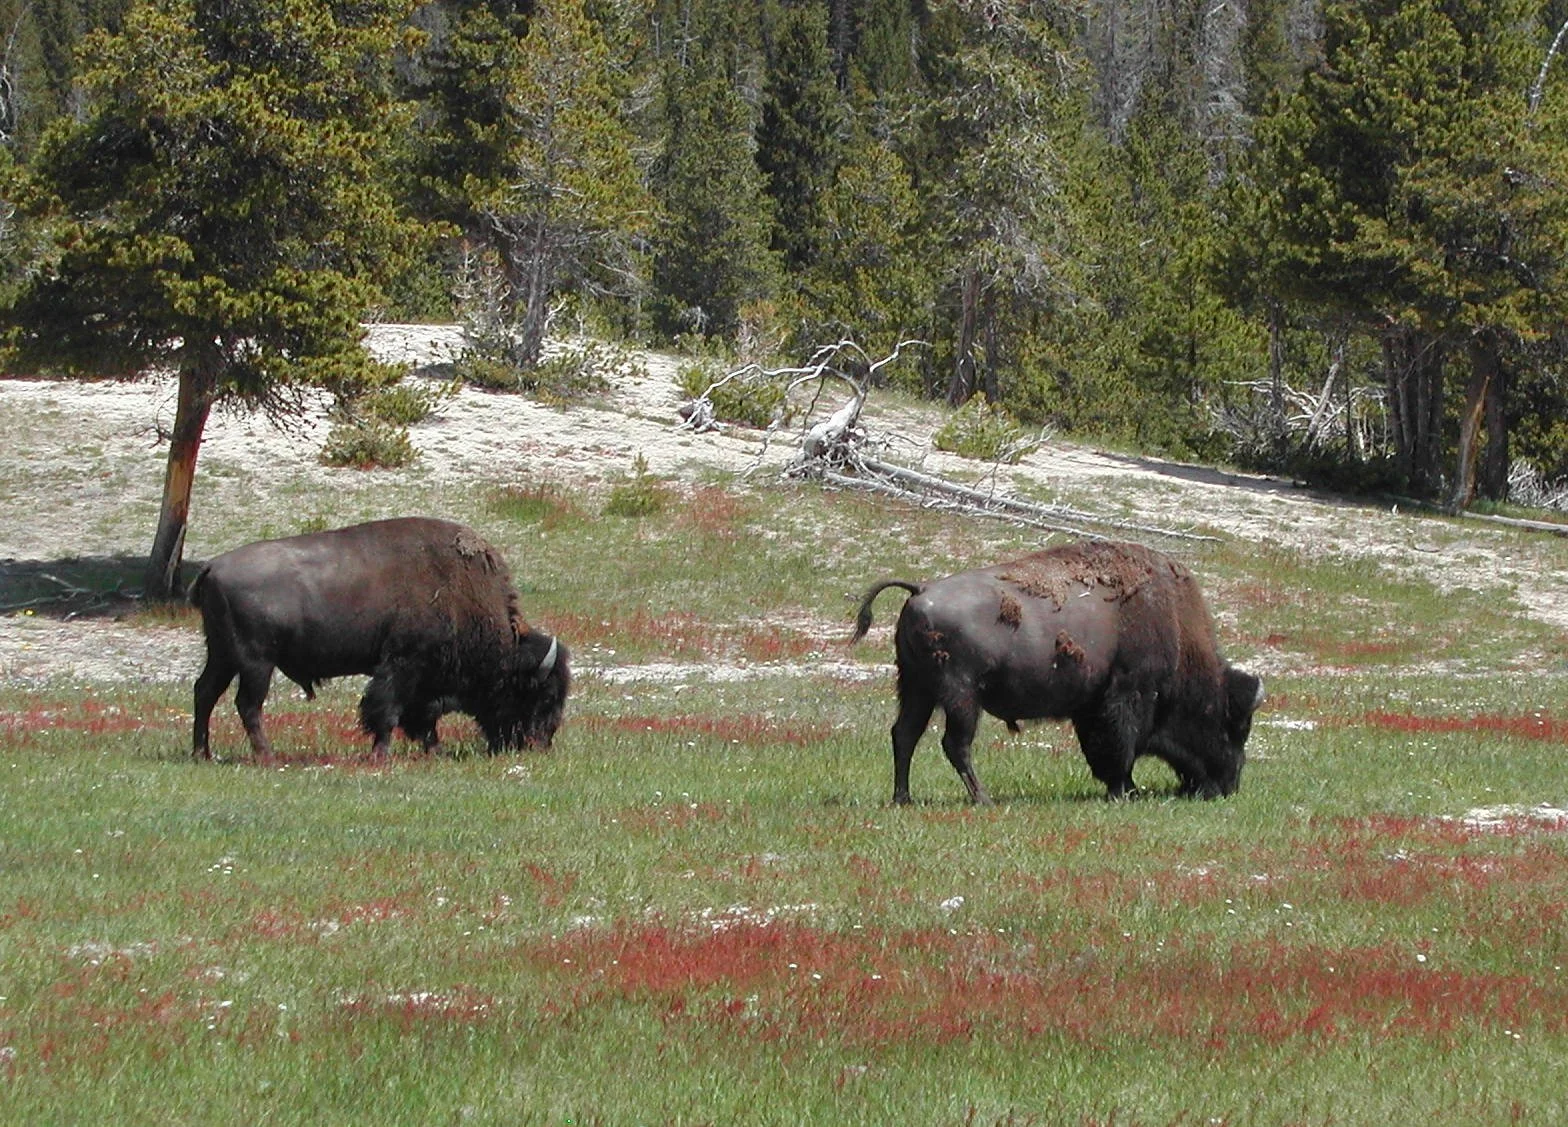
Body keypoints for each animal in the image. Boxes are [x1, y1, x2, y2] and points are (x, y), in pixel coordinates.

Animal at [190, 517, 569, 759]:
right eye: (543, 695)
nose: (540, 744)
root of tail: (212, 566)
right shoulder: (401, 665)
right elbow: (387, 710)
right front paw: (381, 753)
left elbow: (422, 718)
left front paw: (435, 751)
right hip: (256, 662)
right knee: (247, 704)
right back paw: (266, 755)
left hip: (223, 655)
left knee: (205, 692)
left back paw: (202, 753)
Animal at [852, 540, 1262, 803]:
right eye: (1233, 725)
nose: (1229, 786)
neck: (1174, 625)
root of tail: (921, 590)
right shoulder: (1128, 694)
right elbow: (1121, 746)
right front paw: (1126, 791)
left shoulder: (1091, 707)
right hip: (961, 697)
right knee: (954, 744)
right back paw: (983, 798)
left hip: (916, 689)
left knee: (905, 735)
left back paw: (903, 798)